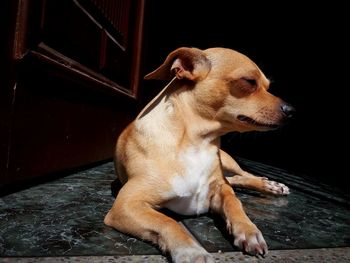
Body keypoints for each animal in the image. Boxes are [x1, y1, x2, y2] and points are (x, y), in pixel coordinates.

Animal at [105, 48, 294, 263]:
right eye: (249, 82)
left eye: (268, 87)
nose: (291, 110)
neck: (196, 142)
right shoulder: (126, 205)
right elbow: (168, 221)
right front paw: (192, 251)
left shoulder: (221, 190)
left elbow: (234, 203)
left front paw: (248, 230)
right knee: (236, 179)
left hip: (228, 162)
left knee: (244, 175)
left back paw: (270, 184)